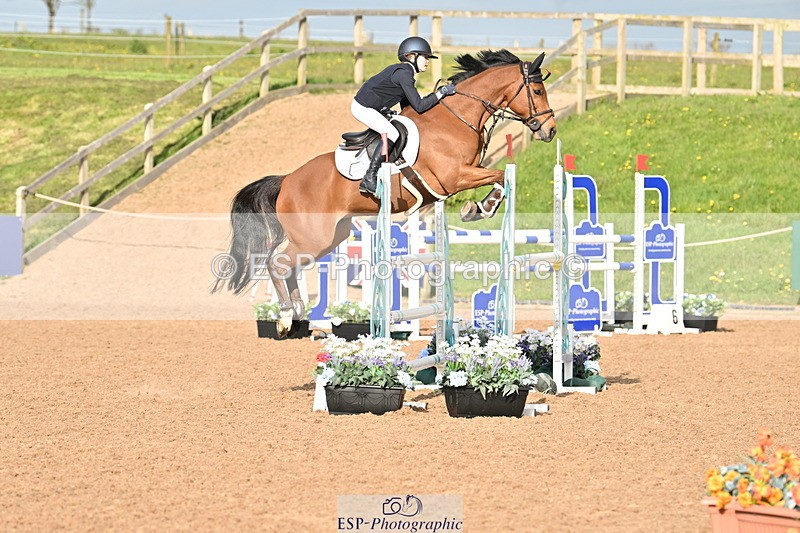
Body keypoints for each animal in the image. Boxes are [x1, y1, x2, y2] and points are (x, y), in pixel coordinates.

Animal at [213, 49, 557, 335]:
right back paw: (286, 318)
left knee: (289, 266)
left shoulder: (462, 176)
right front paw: (480, 208)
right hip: (314, 236)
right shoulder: (455, 177)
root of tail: (287, 180)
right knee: (278, 263)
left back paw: (300, 315)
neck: (455, 119)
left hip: (330, 237)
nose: (550, 130)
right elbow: (499, 176)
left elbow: (500, 176)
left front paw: (478, 208)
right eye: (538, 91)